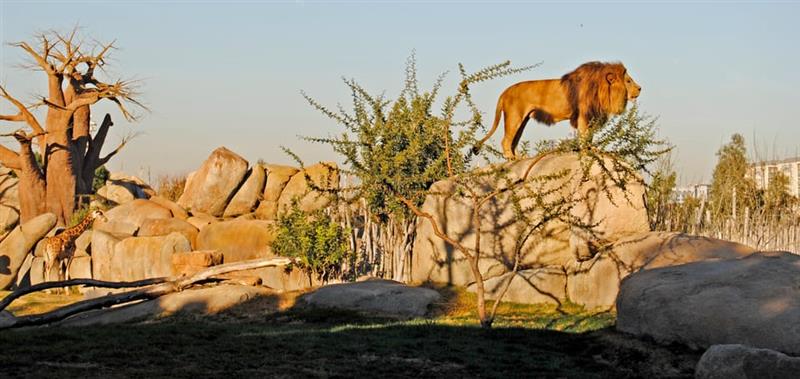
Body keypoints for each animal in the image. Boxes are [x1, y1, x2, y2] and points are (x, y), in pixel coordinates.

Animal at [472, 61, 640, 160]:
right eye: (628, 81)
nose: (640, 88)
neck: (601, 89)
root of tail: (504, 92)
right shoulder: (583, 115)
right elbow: (584, 136)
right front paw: (586, 152)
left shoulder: (591, 116)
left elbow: (589, 137)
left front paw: (592, 149)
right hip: (514, 117)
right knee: (506, 140)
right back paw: (511, 158)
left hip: (522, 120)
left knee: (514, 141)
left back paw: (519, 158)